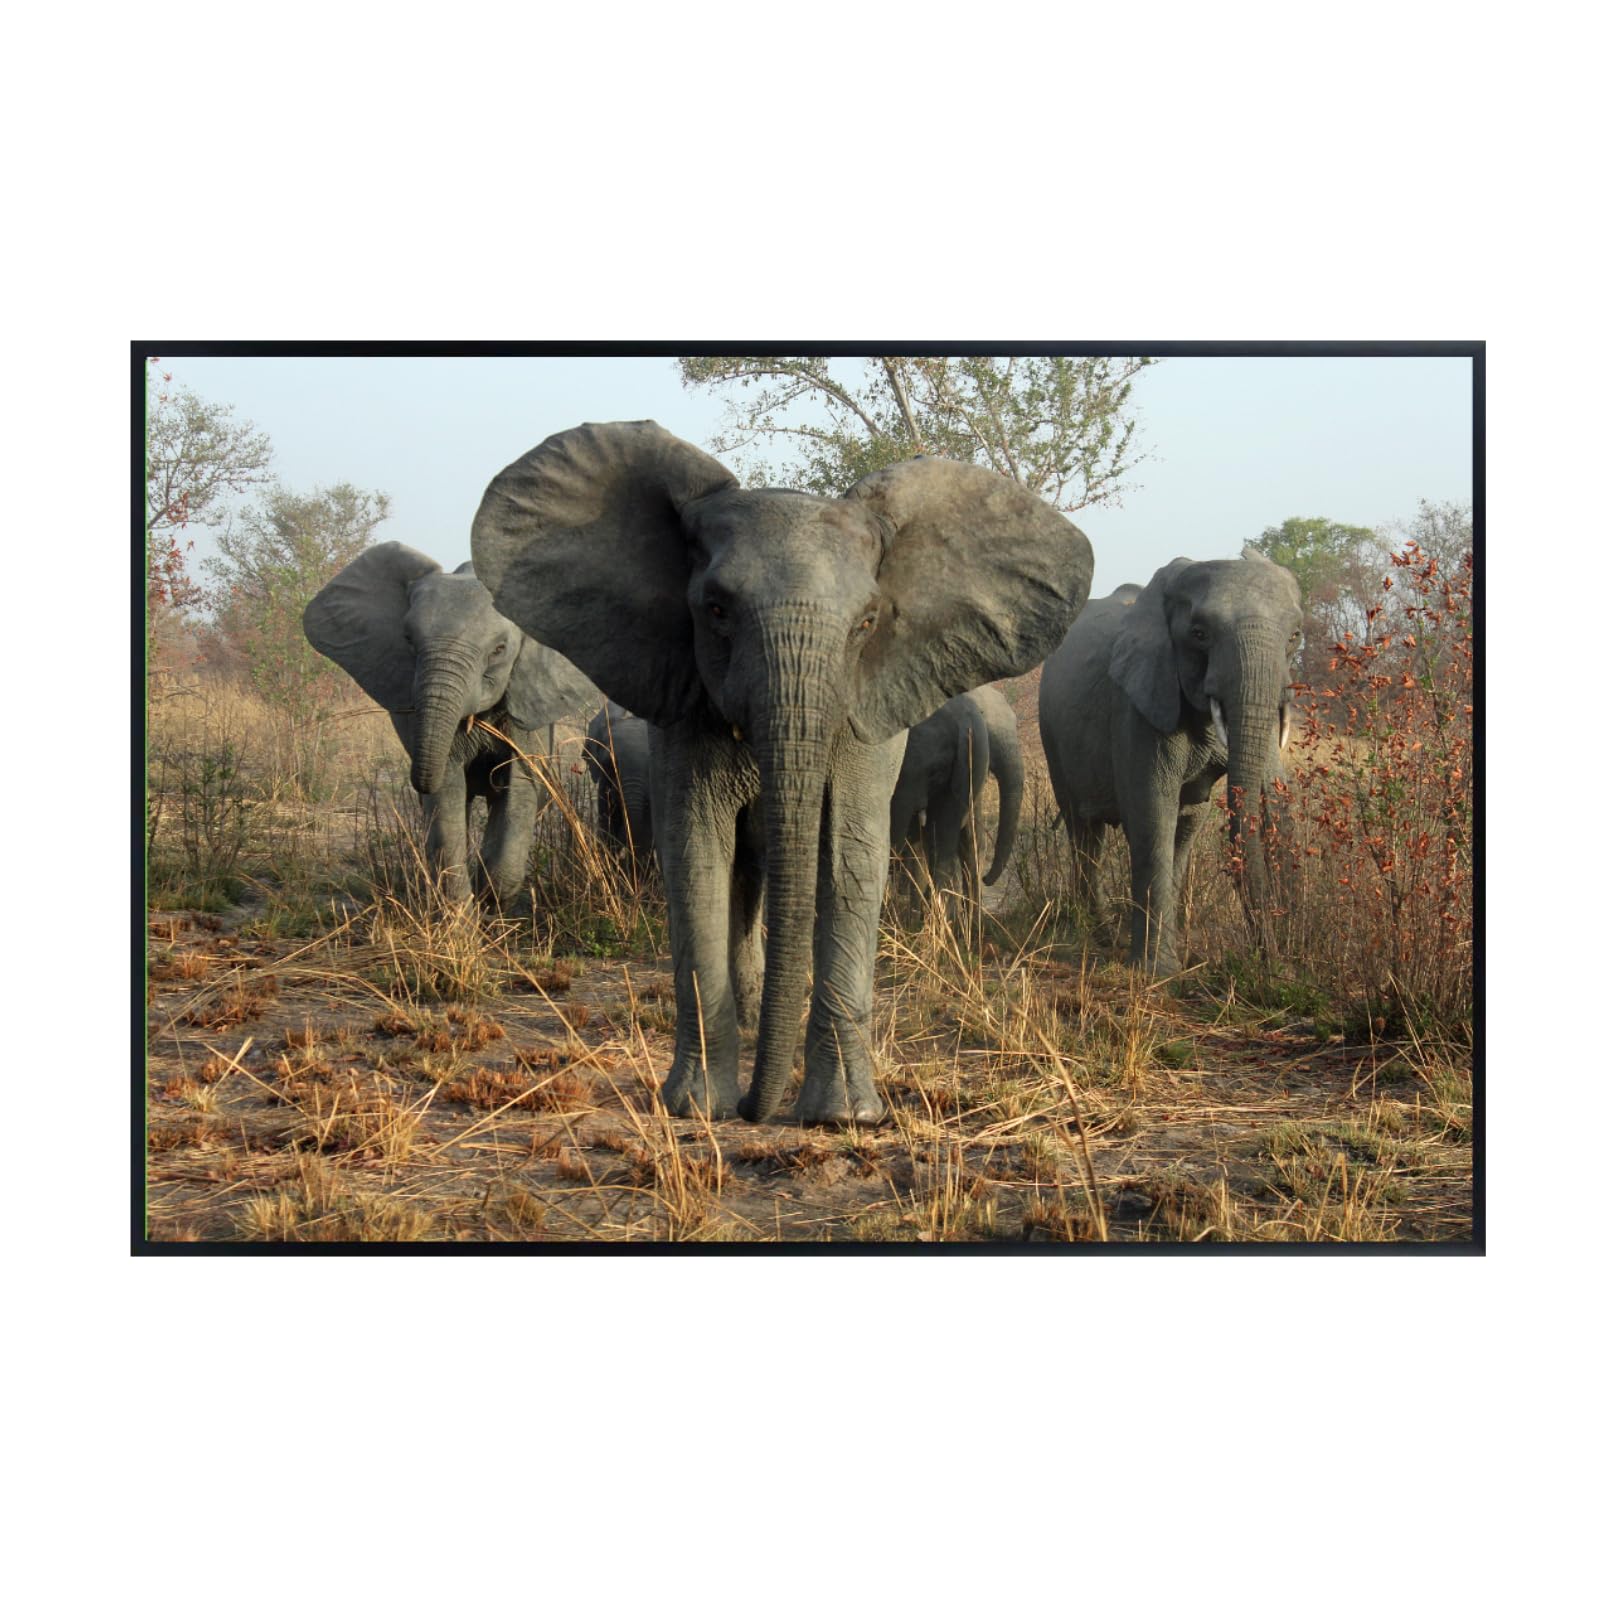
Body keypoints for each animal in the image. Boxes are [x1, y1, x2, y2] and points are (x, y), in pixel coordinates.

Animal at [302, 541, 597, 908]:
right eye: (408, 639)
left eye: (499, 649)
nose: (417, 781)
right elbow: (448, 798)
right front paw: (461, 914)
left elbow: (520, 787)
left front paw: (490, 896)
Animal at [1037, 551, 1302, 974]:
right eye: (1199, 634)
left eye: (1294, 636)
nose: (1276, 962)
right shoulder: (1139, 702)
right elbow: (1153, 808)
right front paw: (1156, 973)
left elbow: (1187, 815)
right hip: (1052, 734)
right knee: (1083, 828)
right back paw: (1097, 934)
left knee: (1185, 821)